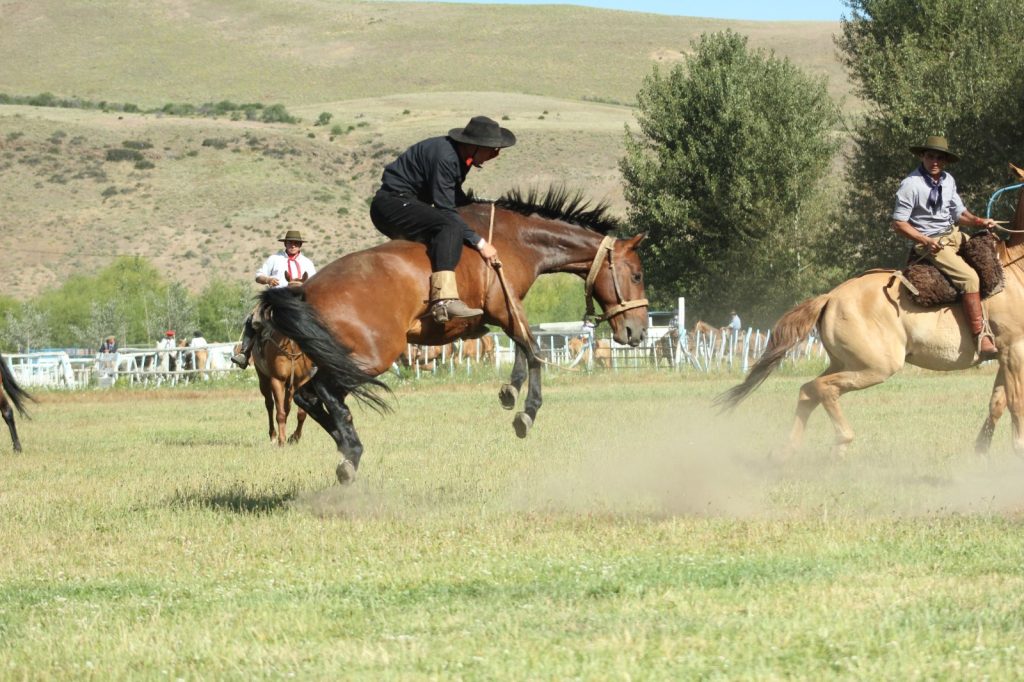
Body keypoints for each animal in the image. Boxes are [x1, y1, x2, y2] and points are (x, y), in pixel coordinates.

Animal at [264, 186, 647, 483]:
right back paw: (352, 450)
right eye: (637, 275)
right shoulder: (504, 307)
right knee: (321, 393)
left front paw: (510, 390)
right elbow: (534, 350)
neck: (514, 239)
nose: (638, 331)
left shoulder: (506, 310)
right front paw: (527, 413)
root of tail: (307, 290)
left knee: (308, 397)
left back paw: (346, 449)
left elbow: (522, 348)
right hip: (369, 357)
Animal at [716, 163, 1024, 456]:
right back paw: (841, 441)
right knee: (822, 388)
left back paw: (787, 452)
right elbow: (1015, 403)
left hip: (846, 362)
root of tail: (830, 297)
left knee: (808, 391)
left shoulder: (1004, 354)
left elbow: (998, 402)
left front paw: (982, 451)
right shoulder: (1013, 351)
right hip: (877, 366)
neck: (1015, 272)